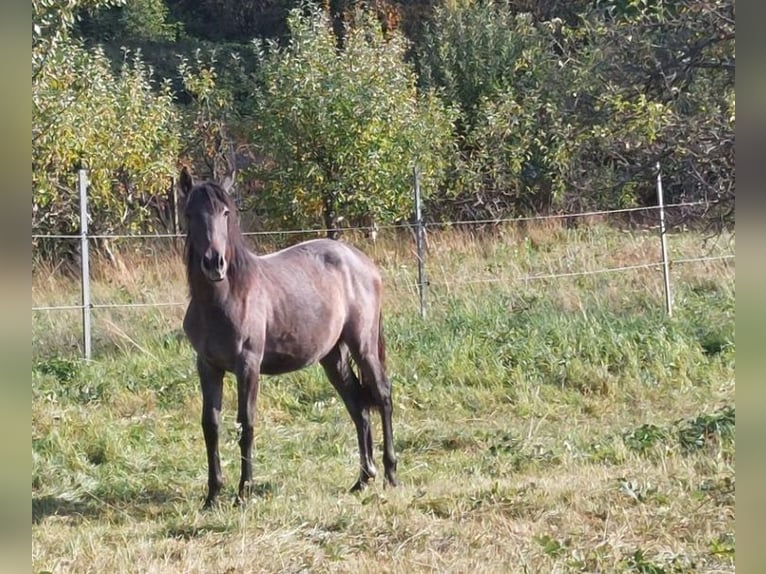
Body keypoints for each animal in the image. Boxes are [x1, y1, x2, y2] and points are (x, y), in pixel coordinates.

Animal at [178, 168, 400, 508]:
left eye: (225, 212)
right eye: (190, 213)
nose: (214, 263)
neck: (226, 298)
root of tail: (361, 262)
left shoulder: (248, 366)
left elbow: (246, 423)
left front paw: (244, 491)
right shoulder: (207, 366)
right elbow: (210, 425)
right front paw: (213, 495)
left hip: (363, 346)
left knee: (383, 395)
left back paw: (390, 473)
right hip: (333, 357)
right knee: (357, 406)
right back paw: (363, 479)